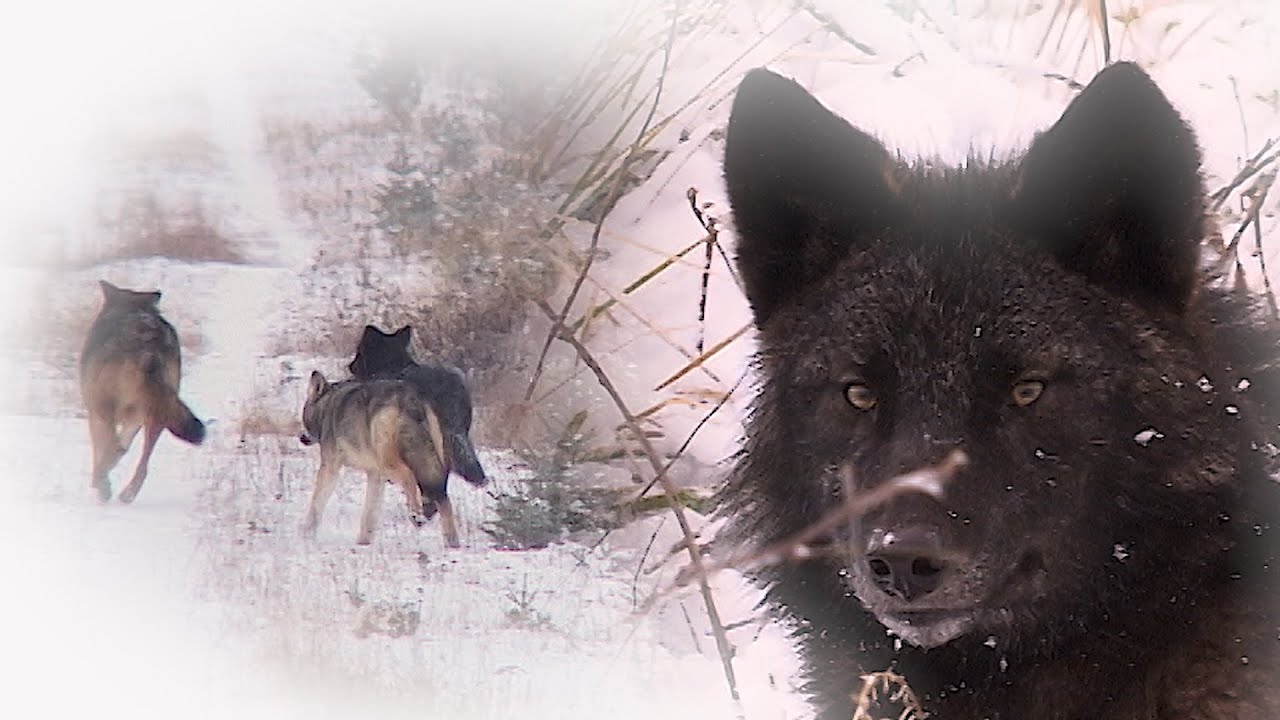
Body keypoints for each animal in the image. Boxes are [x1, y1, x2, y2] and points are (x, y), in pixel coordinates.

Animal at [79, 280, 206, 503]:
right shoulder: (135, 419)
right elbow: (119, 450)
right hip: (157, 413)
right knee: (140, 461)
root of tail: (148, 342)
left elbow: (101, 449)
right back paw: (126, 494)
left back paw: (105, 488)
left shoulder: (96, 412)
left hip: (109, 407)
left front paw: (98, 483)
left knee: (114, 446)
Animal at [299, 371, 459, 547]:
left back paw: (416, 515)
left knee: (409, 478)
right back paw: (452, 544)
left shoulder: (330, 467)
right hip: (430, 465)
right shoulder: (375, 474)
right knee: (444, 500)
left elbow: (316, 502)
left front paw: (306, 535)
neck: (327, 407)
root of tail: (411, 399)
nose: (301, 437)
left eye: (303, 411)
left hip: (391, 462)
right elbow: (370, 512)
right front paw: (363, 543)